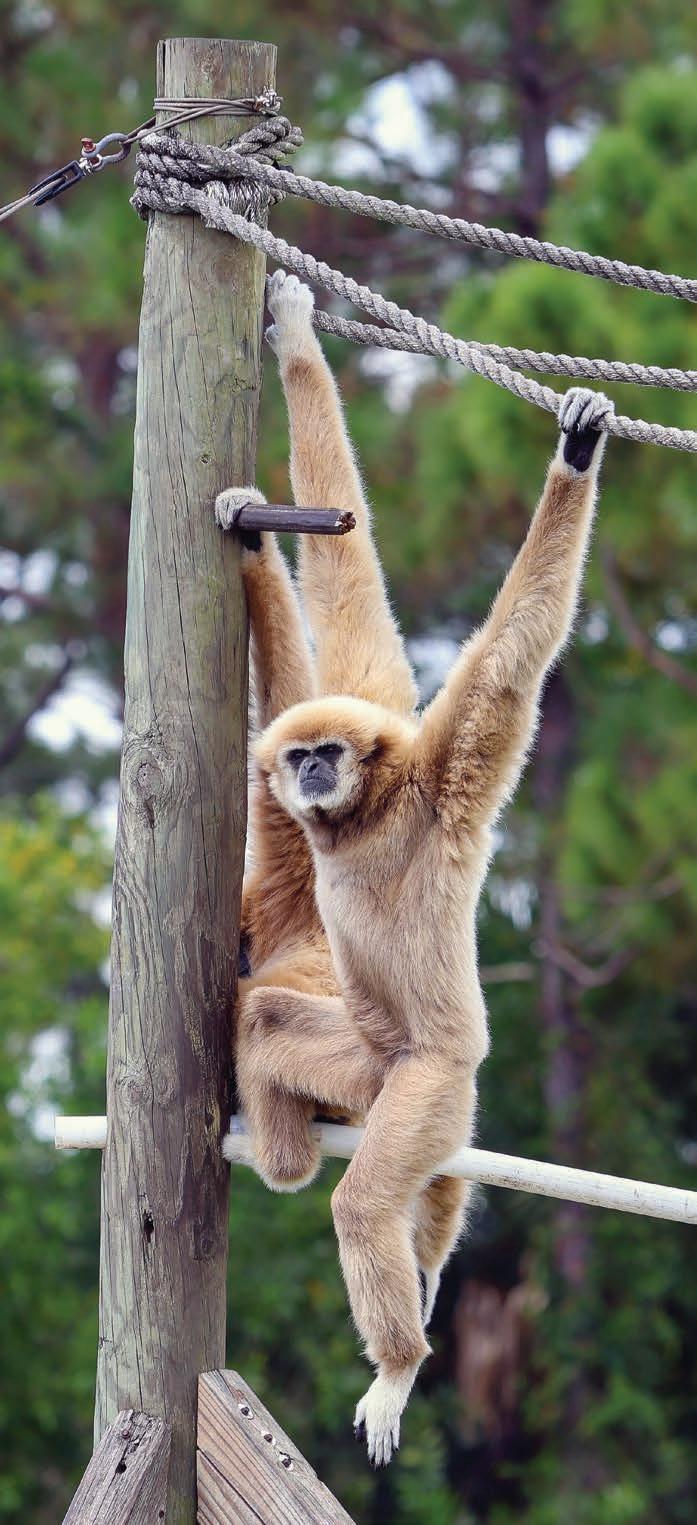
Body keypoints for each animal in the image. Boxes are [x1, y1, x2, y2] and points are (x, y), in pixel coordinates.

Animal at [217, 270, 614, 1465]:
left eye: (328, 755)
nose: (306, 772)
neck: (364, 819)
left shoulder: (444, 765)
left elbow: (511, 654)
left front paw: (576, 453)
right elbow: (346, 588)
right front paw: (295, 347)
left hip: (432, 1085)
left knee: (368, 1199)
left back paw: (397, 1361)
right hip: (368, 1062)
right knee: (277, 1028)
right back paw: (314, 1175)